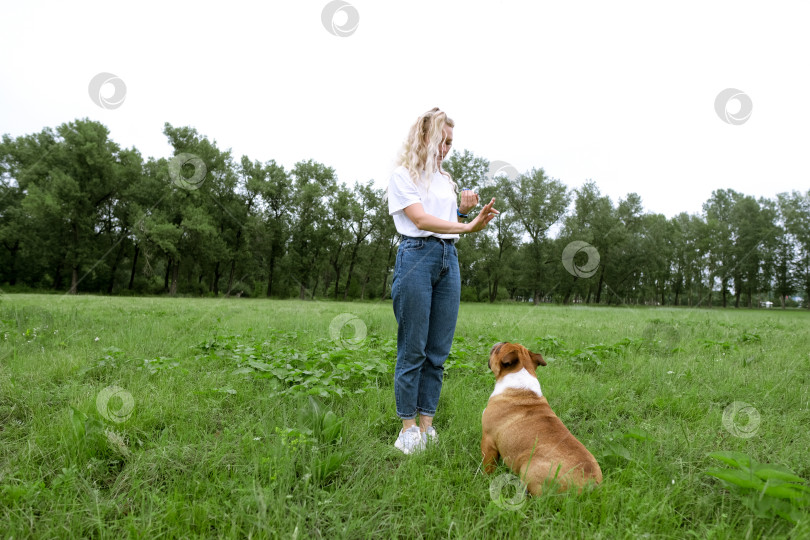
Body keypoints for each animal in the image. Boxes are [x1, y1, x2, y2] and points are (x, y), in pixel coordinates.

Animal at [480, 342, 600, 494]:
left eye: (499, 349)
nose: (497, 343)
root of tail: (590, 484)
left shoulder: (488, 439)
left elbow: (487, 465)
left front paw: (484, 478)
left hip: (528, 468)